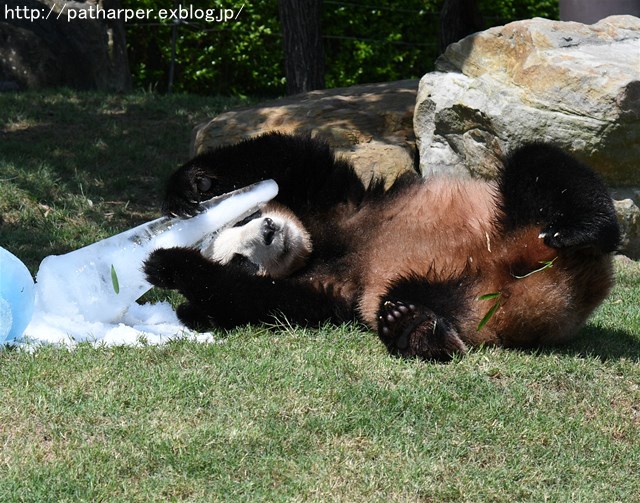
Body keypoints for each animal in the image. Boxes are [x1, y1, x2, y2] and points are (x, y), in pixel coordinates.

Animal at [144, 133, 620, 362]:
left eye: (244, 218)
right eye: (241, 259)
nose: (268, 233)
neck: (318, 246)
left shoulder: (335, 201)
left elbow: (284, 157)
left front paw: (190, 189)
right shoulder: (323, 285)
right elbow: (257, 300)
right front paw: (169, 268)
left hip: (513, 218)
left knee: (542, 167)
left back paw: (584, 228)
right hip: (455, 293)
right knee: (409, 298)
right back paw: (415, 330)